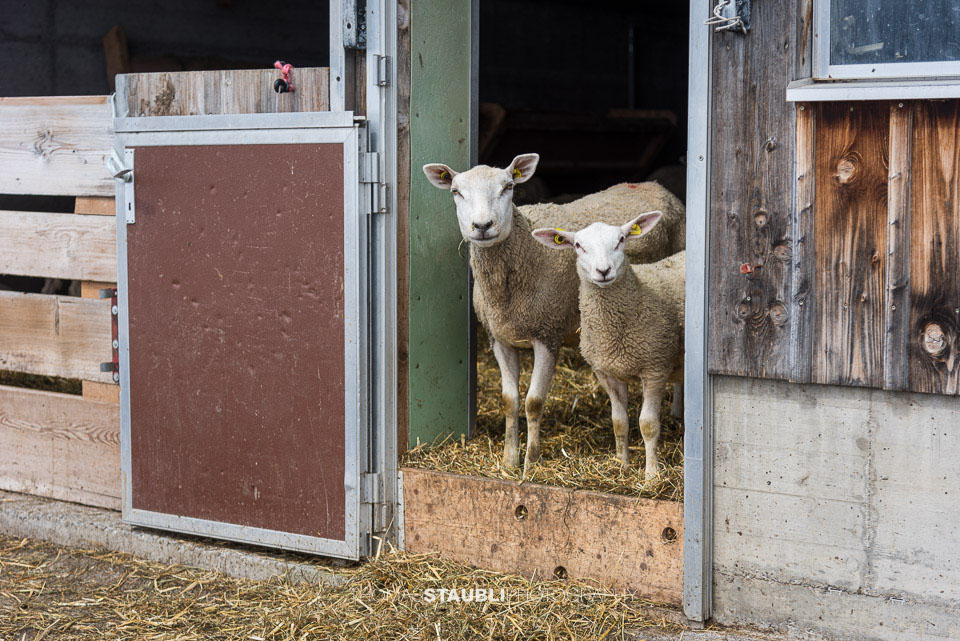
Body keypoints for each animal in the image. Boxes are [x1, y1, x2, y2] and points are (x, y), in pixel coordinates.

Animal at [532, 211, 684, 481]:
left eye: (621, 240)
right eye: (578, 246)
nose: (603, 271)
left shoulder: (655, 367)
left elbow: (648, 424)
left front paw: (651, 475)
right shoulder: (606, 372)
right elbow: (619, 422)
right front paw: (622, 466)